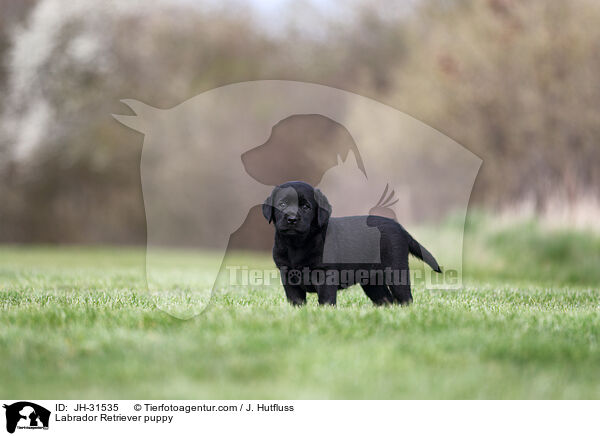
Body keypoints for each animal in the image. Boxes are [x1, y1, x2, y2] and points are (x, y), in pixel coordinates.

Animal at [262, 181, 440, 306]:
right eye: (282, 204)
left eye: (306, 207)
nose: (292, 219)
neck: (296, 244)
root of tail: (400, 227)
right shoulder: (287, 276)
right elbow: (296, 301)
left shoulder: (325, 275)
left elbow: (326, 300)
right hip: (372, 281)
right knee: (386, 300)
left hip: (396, 271)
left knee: (405, 298)